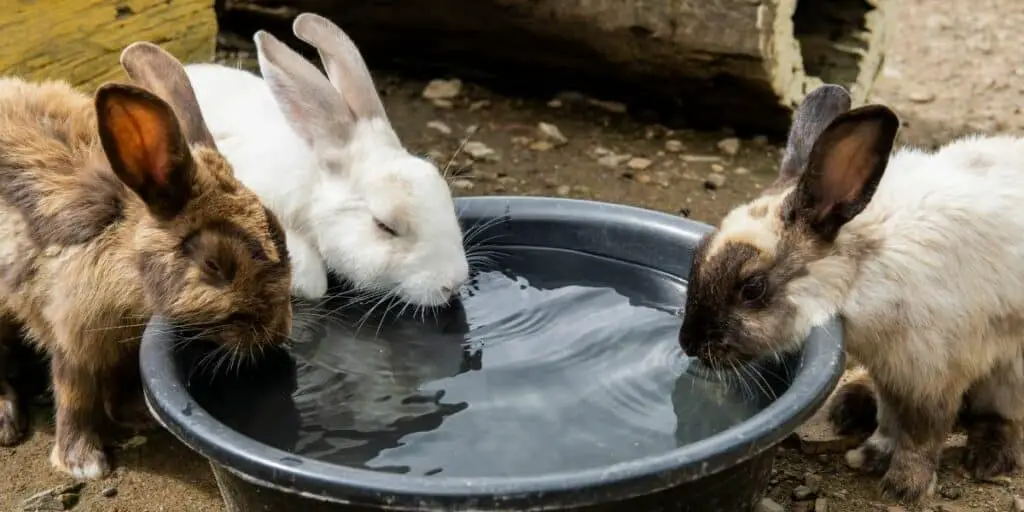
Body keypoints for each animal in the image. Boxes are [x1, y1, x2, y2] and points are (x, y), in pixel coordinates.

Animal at [0, 40, 292, 479]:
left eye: (278, 229)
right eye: (215, 265)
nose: (277, 332)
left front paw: (138, 412)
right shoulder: (72, 332)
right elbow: (74, 395)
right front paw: (83, 463)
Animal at [679, 84, 1024, 503]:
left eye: (753, 287)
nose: (688, 343)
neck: (863, 269)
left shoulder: (933, 374)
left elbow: (922, 435)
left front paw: (904, 486)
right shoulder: (892, 374)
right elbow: (891, 421)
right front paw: (870, 455)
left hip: (1011, 373)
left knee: (1002, 417)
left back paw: (989, 459)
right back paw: (850, 404)